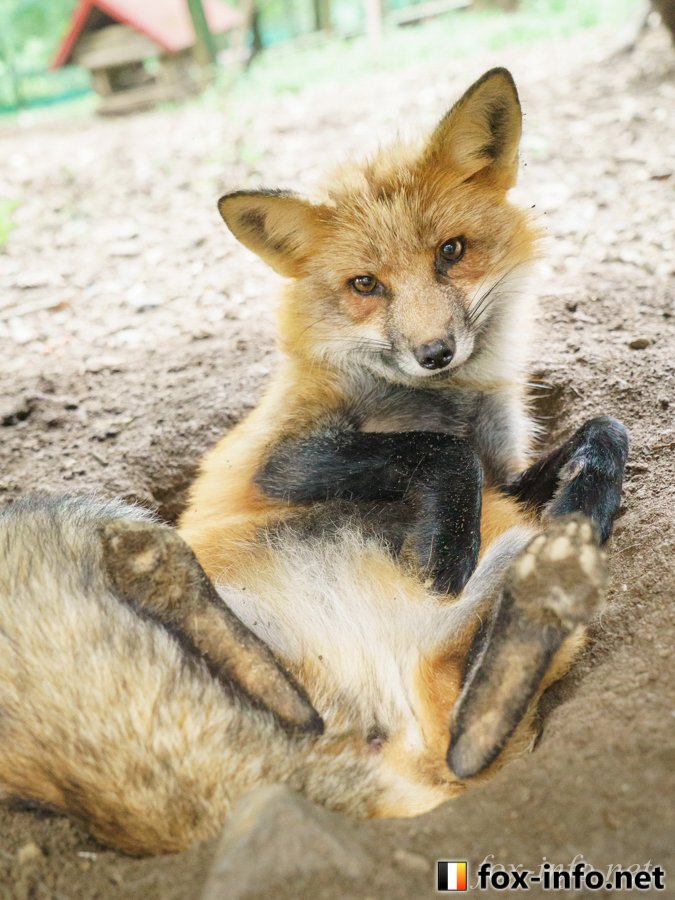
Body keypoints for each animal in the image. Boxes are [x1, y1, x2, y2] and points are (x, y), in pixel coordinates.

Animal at [0, 67, 628, 856]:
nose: (434, 352)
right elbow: (442, 454)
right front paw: (441, 556)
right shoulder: (285, 460)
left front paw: (576, 491)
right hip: (80, 521)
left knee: (459, 717)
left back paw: (553, 572)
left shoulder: (508, 469)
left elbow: (603, 430)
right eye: (366, 285)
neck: (439, 399)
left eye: (451, 251)